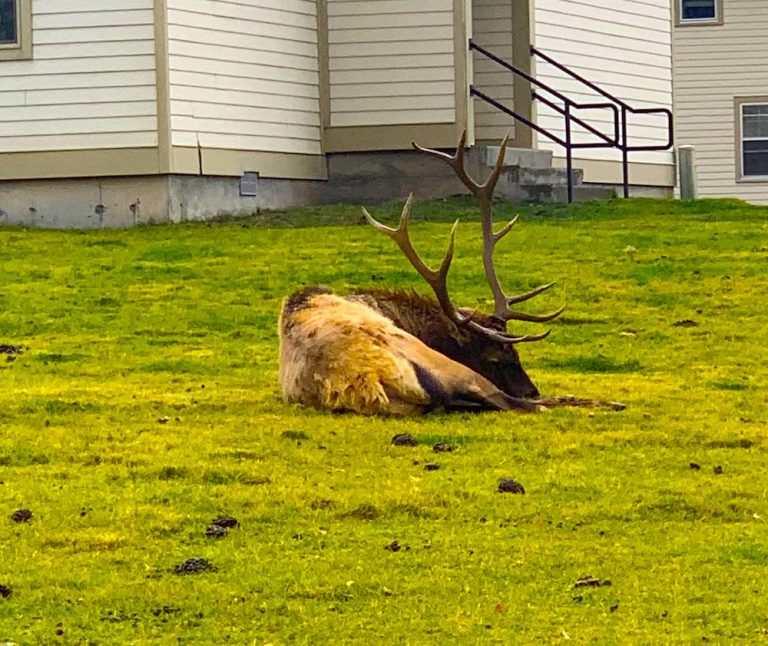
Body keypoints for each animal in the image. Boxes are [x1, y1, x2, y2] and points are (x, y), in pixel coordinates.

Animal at [278, 133, 623, 415]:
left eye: (517, 353)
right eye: (498, 358)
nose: (531, 388)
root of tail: (370, 379)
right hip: (453, 370)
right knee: (518, 404)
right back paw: (603, 403)